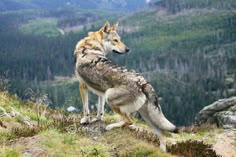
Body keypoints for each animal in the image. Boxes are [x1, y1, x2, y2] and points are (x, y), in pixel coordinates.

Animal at [74, 21, 177, 151]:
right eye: (115, 40)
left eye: (119, 39)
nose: (127, 49)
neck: (89, 47)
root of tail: (143, 82)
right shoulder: (101, 92)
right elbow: (100, 109)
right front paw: (98, 118)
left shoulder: (82, 86)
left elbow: (85, 108)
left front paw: (86, 120)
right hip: (146, 115)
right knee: (162, 134)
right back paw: (162, 150)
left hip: (110, 97)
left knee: (129, 121)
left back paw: (111, 126)